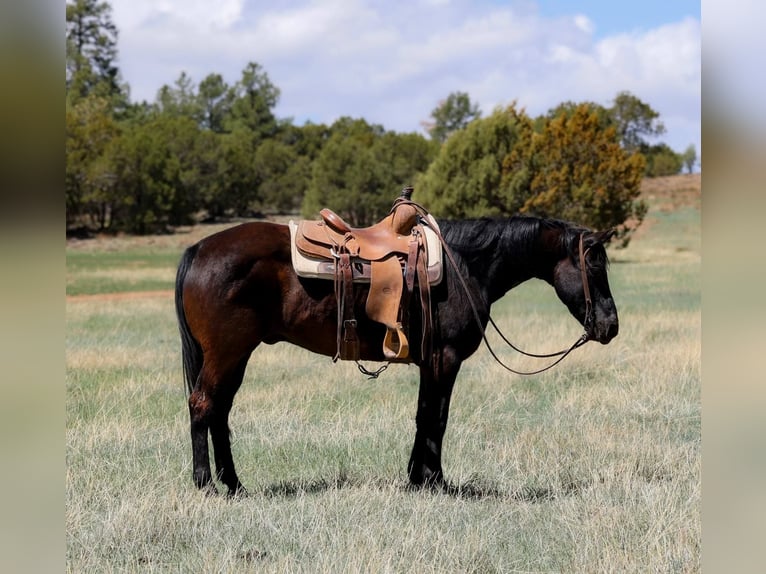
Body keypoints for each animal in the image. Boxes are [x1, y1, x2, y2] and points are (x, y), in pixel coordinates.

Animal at [175, 214, 619, 495]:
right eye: (595, 267)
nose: (610, 326)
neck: (465, 266)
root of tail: (199, 249)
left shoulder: (431, 363)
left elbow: (424, 416)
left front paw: (416, 478)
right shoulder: (444, 359)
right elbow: (436, 419)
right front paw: (435, 482)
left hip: (236, 356)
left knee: (219, 412)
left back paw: (234, 485)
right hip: (227, 353)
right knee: (202, 405)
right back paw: (206, 484)